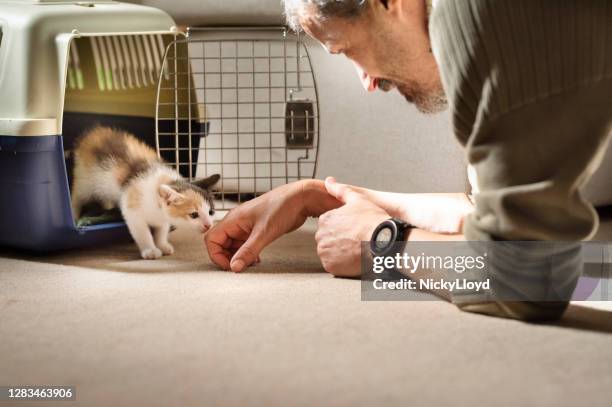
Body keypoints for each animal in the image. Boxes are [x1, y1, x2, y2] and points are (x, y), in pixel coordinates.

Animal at [71, 126, 220, 260]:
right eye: (194, 215)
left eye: (211, 212)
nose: (208, 225)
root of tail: (93, 133)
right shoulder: (132, 208)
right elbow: (143, 232)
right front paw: (150, 250)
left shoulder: (162, 218)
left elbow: (162, 229)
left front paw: (162, 245)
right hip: (85, 181)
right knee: (77, 197)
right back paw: (74, 216)